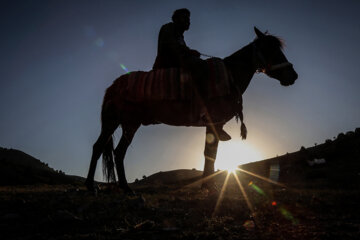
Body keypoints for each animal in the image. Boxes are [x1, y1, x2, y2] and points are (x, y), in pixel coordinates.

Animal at [85, 27, 298, 194]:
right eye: (270, 49)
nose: (293, 75)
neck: (229, 76)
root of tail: (113, 85)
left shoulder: (214, 125)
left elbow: (211, 152)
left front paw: (208, 185)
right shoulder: (214, 123)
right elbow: (210, 153)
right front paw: (208, 186)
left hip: (121, 122)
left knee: (110, 150)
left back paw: (118, 187)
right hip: (124, 122)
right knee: (109, 149)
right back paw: (100, 187)